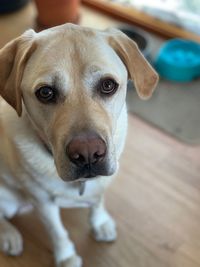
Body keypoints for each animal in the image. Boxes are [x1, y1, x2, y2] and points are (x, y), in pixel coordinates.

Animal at [0, 24, 159, 266]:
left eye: (108, 85)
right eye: (45, 92)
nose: (88, 154)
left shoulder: (101, 182)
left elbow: (98, 201)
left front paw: (100, 222)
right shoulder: (43, 202)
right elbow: (57, 232)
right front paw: (66, 256)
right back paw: (9, 236)